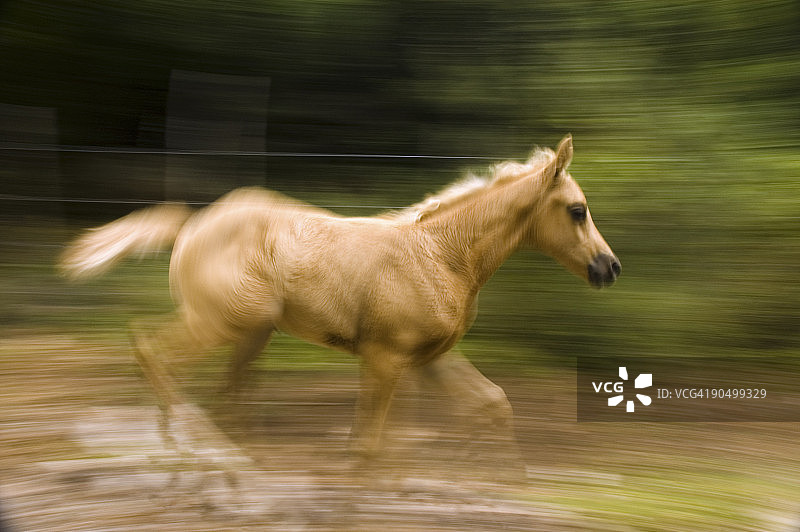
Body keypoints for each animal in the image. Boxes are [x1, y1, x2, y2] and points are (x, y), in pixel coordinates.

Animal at [59, 135, 619, 460]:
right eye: (577, 210)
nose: (609, 268)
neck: (442, 255)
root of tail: (193, 226)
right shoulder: (386, 357)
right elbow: (368, 445)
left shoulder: (430, 358)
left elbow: (491, 405)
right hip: (219, 323)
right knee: (153, 352)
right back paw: (187, 441)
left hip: (252, 333)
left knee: (224, 394)